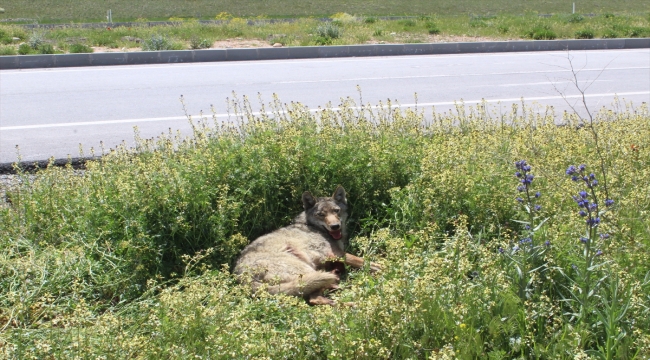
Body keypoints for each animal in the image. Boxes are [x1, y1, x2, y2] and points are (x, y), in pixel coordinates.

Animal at [233, 186, 380, 306]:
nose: (335, 226)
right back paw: (353, 301)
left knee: (320, 293)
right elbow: (367, 262)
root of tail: (241, 275)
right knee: (315, 297)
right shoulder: (336, 254)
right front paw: (383, 267)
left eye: (336, 211)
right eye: (321, 215)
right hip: (306, 269)